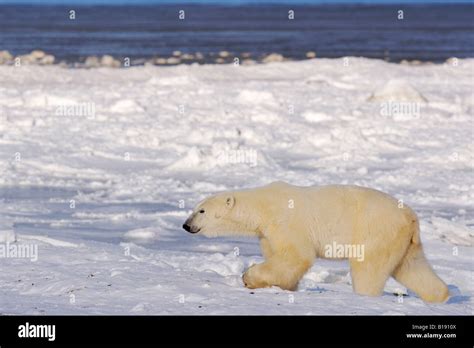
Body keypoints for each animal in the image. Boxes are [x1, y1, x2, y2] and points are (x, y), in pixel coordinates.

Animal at [183, 182, 450, 302]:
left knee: (368, 269)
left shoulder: (286, 223)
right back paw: (440, 296)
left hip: (376, 232)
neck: (262, 207)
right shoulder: (267, 233)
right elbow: (280, 259)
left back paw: (364, 296)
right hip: (404, 242)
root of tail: (411, 217)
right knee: (412, 268)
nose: (186, 225)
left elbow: (296, 256)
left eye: (201, 211)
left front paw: (248, 277)